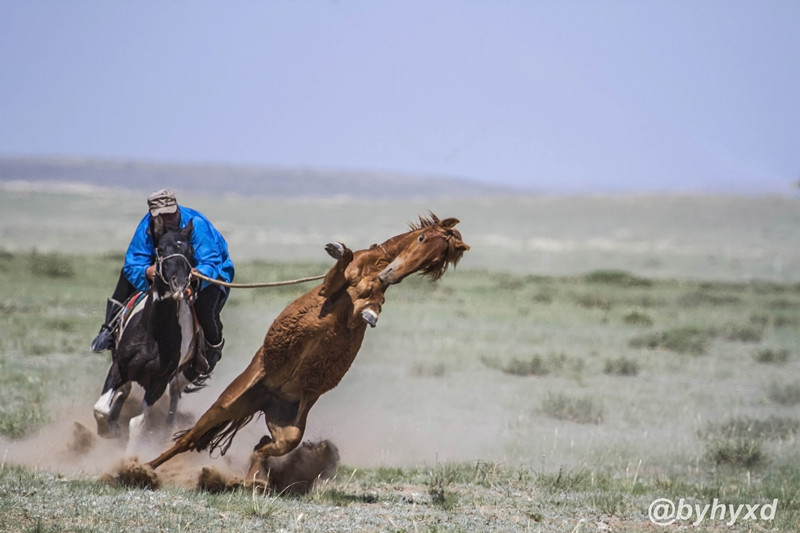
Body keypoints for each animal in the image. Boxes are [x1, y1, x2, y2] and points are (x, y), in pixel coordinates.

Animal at [146, 214, 468, 480]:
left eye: (433, 262)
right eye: (422, 239)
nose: (389, 275)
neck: (372, 270)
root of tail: (264, 398)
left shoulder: (354, 316)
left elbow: (369, 307)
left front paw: (372, 309)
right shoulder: (330, 290)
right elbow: (344, 265)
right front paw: (337, 248)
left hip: (289, 431)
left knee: (263, 447)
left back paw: (253, 481)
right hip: (227, 403)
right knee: (189, 438)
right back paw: (143, 467)